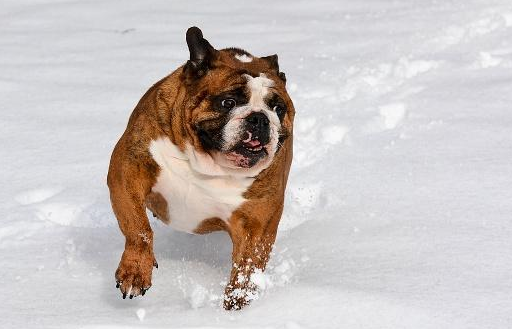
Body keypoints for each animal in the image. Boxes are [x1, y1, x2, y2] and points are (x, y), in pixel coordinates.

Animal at [106, 26, 294, 308]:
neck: (208, 164)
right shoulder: (129, 169)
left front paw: (236, 304)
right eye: (228, 103)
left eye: (278, 108)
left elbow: (247, 268)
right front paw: (135, 271)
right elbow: (138, 228)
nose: (260, 118)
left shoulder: (258, 223)